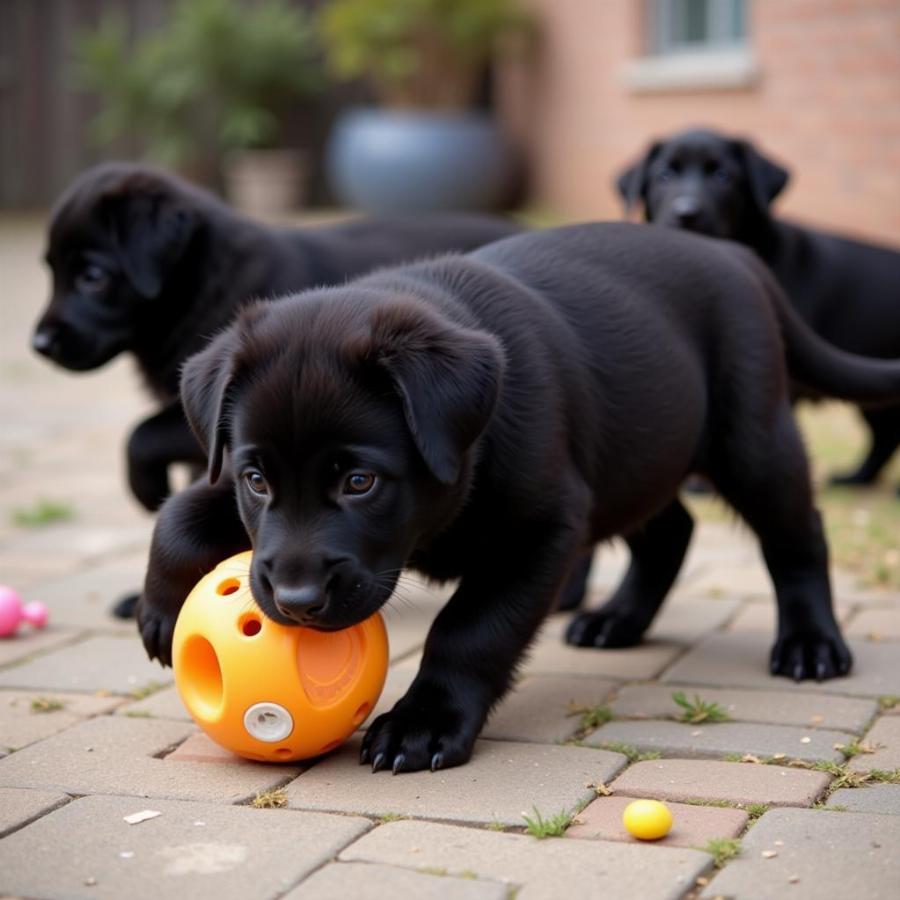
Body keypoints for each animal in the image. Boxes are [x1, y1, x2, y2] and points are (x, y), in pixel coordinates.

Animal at [31, 162, 520, 512]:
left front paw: (148, 490)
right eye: (52, 271)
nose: (38, 345)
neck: (205, 284)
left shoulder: (214, 412)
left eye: (93, 277)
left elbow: (140, 436)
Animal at [135, 223, 900, 772]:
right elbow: (177, 513)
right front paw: (160, 611)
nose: (294, 603)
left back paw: (810, 645)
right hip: (635, 455)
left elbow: (471, 630)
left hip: (750, 436)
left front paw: (424, 723)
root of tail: (737, 257)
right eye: (257, 480)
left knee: (797, 533)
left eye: (359, 483)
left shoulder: (544, 530)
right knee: (670, 530)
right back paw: (617, 620)